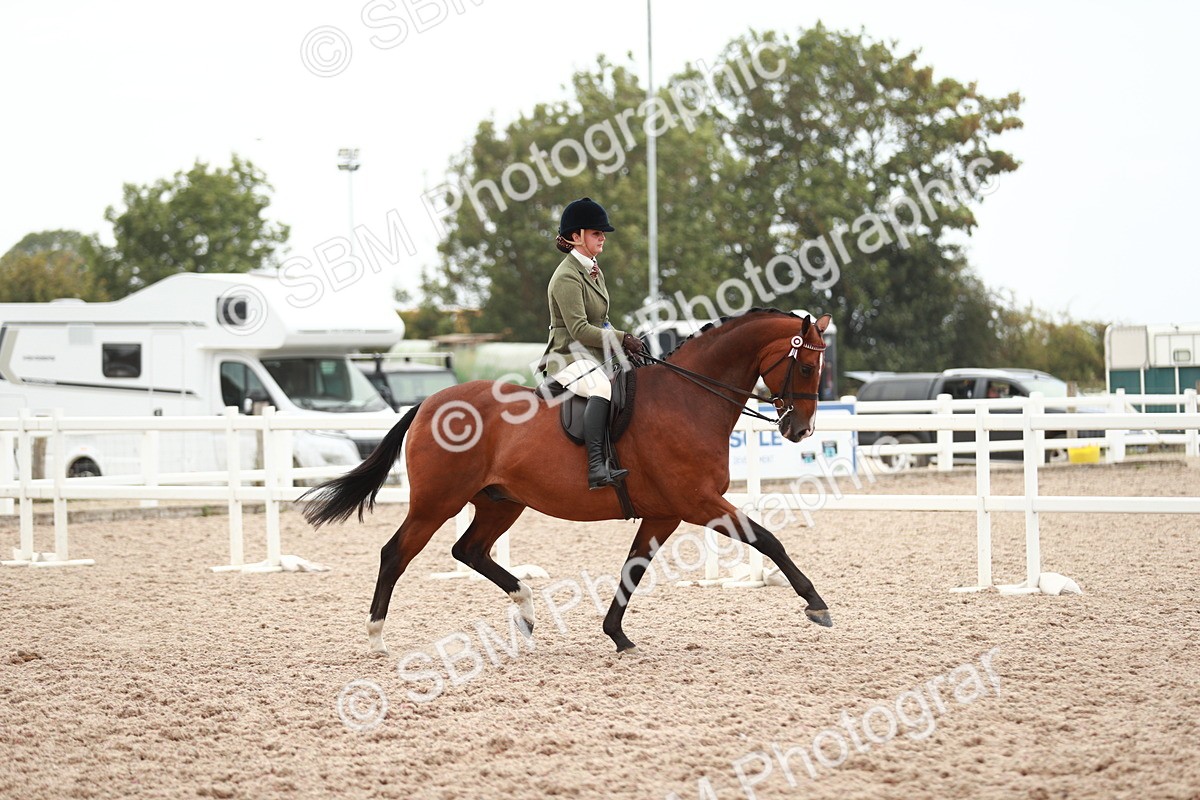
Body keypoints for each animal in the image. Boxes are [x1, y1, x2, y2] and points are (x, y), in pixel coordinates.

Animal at [302, 308, 834, 654]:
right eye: (807, 365)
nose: (800, 430)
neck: (689, 398)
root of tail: (431, 401)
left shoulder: (665, 511)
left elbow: (633, 568)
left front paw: (617, 635)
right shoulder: (698, 501)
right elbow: (768, 539)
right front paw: (816, 605)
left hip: (500, 502)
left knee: (469, 550)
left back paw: (526, 610)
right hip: (438, 502)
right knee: (396, 553)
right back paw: (376, 638)